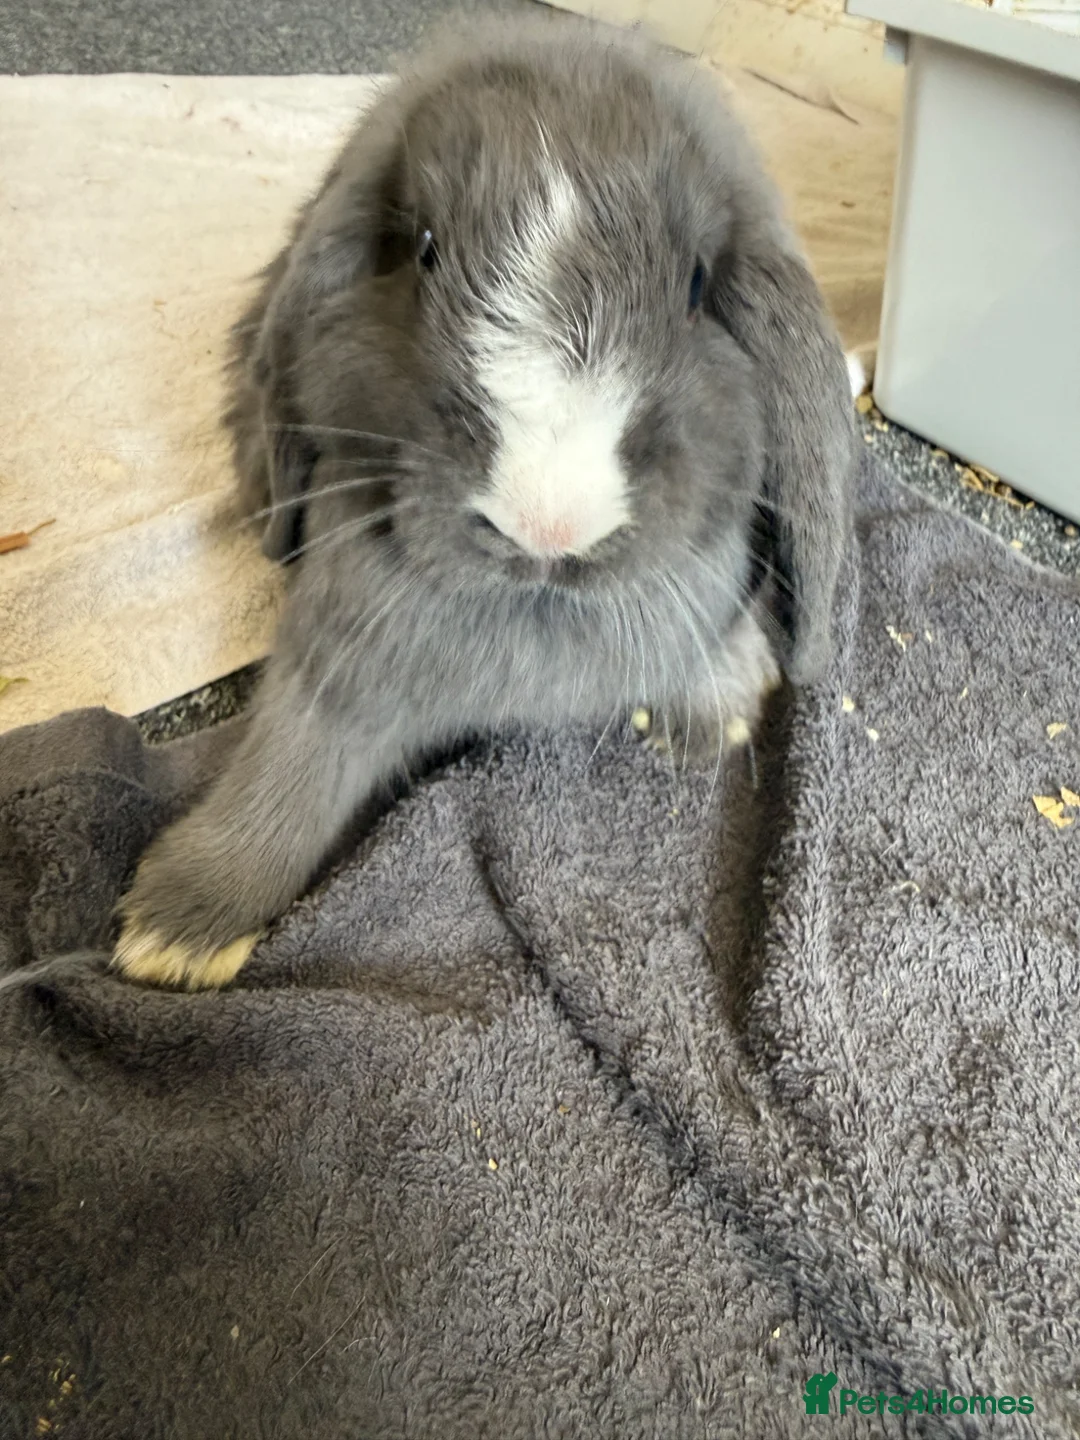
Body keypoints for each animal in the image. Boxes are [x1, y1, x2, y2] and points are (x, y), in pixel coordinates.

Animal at [112, 11, 858, 990]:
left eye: (697, 285)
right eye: (425, 249)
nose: (548, 519)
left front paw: (715, 712)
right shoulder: (333, 666)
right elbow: (289, 767)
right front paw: (174, 935)